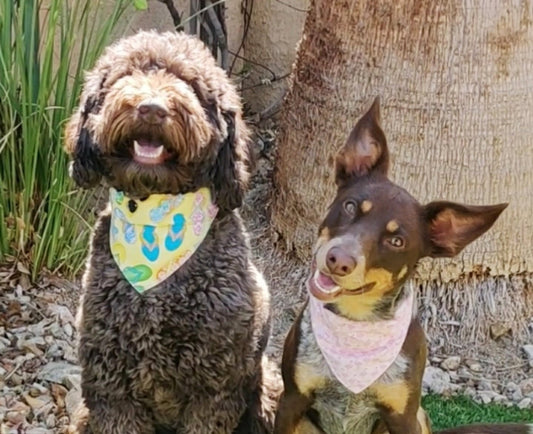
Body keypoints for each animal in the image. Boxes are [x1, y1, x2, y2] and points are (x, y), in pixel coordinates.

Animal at [274, 99, 528, 434]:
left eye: (397, 241)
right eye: (350, 206)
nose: (338, 260)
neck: (357, 323)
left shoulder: (403, 416)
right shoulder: (291, 401)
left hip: (420, 415)